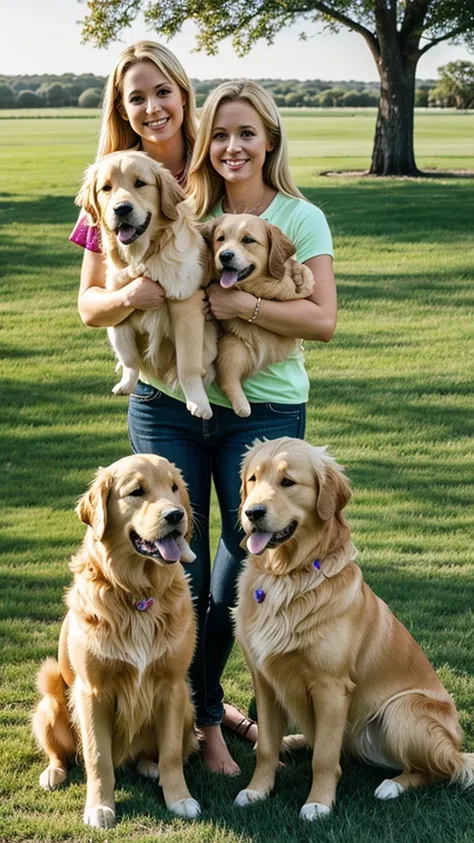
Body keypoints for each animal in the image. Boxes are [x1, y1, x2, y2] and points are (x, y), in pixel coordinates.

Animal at [32, 458, 202, 828]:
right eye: (136, 491)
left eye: (174, 488)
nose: (177, 515)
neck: (137, 594)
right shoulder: (92, 692)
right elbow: (97, 757)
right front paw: (99, 806)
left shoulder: (172, 686)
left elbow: (171, 753)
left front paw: (179, 798)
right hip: (52, 693)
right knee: (60, 752)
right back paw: (53, 773)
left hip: (188, 707)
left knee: (153, 753)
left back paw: (150, 766)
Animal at [77, 152, 217, 422]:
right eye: (106, 188)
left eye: (140, 183)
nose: (122, 209)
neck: (143, 255)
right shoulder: (119, 305)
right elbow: (129, 357)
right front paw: (127, 380)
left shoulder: (185, 302)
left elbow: (188, 365)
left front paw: (198, 402)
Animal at [200, 214, 314, 418]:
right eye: (220, 239)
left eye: (247, 240)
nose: (224, 255)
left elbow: (294, 272)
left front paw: (302, 278)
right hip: (233, 347)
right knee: (227, 379)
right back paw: (242, 406)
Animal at [234, 438, 474, 820]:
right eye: (253, 479)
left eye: (288, 482)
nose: (252, 512)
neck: (287, 576)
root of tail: (456, 746)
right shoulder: (265, 680)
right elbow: (266, 748)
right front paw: (257, 790)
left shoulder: (331, 687)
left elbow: (324, 757)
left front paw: (318, 802)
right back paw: (294, 740)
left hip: (400, 711)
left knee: (440, 769)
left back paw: (393, 785)